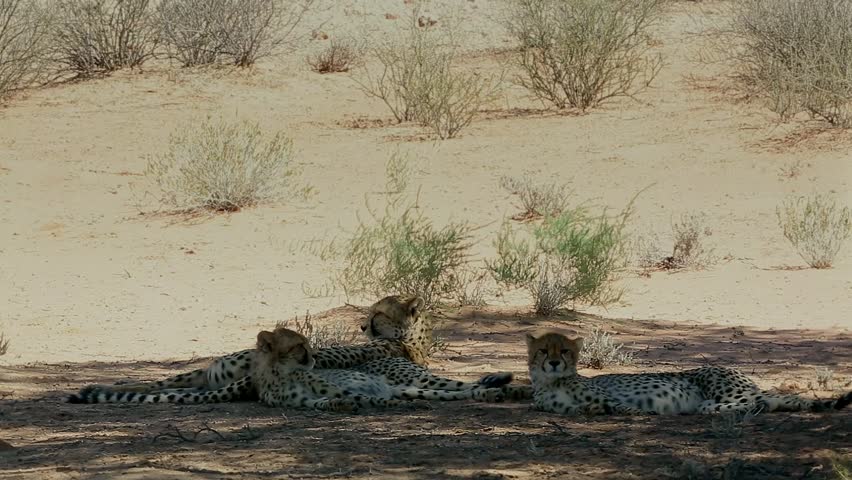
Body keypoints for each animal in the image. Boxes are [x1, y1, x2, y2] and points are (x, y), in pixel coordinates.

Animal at [526, 329, 852, 416]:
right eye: (543, 350)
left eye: (563, 351)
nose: (553, 363)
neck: (552, 382)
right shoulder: (563, 409)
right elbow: (583, 409)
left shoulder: (612, 398)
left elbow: (623, 407)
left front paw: (642, 413)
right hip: (718, 402)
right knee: (767, 401)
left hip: (725, 393)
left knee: (774, 397)